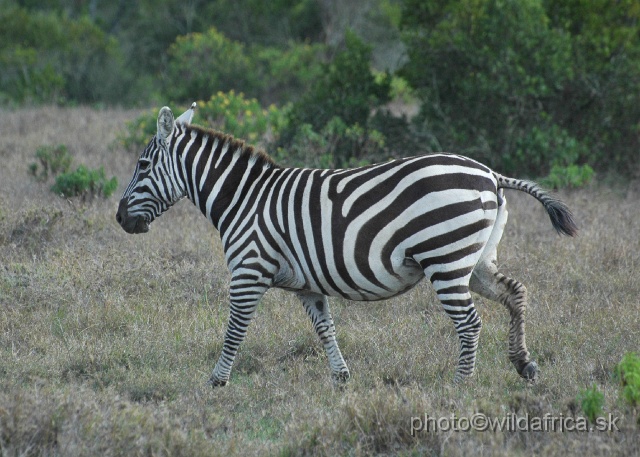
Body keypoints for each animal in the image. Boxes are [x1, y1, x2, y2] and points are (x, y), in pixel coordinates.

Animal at [116, 103, 580, 384]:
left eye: (142, 165)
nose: (120, 218)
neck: (243, 198)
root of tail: (490, 174)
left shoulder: (249, 271)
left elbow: (234, 331)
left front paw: (216, 381)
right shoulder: (306, 284)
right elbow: (325, 328)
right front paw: (341, 378)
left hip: (445, 259)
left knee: (469, 323)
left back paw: (460, 386)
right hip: (475, 260)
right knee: (515, 293)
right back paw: (524, 364)